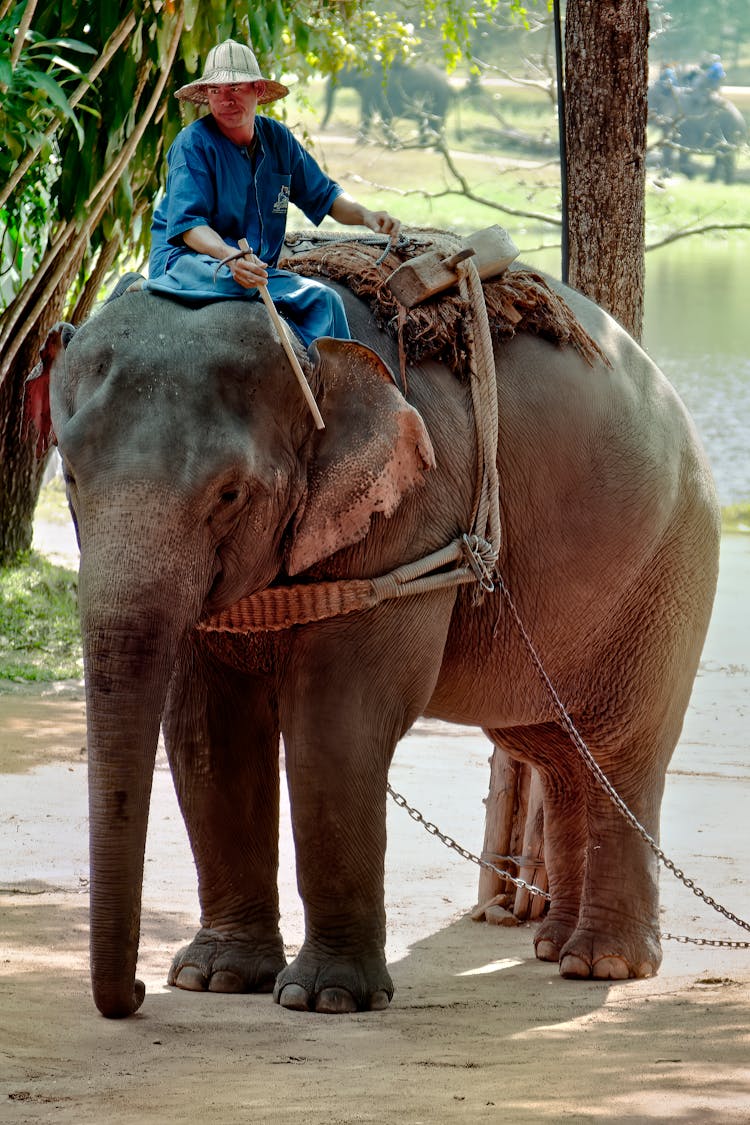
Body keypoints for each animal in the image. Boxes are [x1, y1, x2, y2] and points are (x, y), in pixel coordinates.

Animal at [30, 263, 719, 1021]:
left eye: (230, 493)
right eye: (68, 475)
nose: (135, 992)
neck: (315, 352)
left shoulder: (412, 514)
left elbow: (337, 724)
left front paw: (324, 998)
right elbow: (207, 733)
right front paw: (215, 978)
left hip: (668, 572)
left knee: (622, 753)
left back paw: (604, 964)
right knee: (559, 755)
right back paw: (555, 948)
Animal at [321, 60, 452, 145]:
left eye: (340, 70)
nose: (322, 129)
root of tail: (447, 83)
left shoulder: (372, 86)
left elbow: (366, 112)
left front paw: (360, 143)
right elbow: (384, 116)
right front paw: (394, 143)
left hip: (438, 97)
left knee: (435, 123)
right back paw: (424, 146)